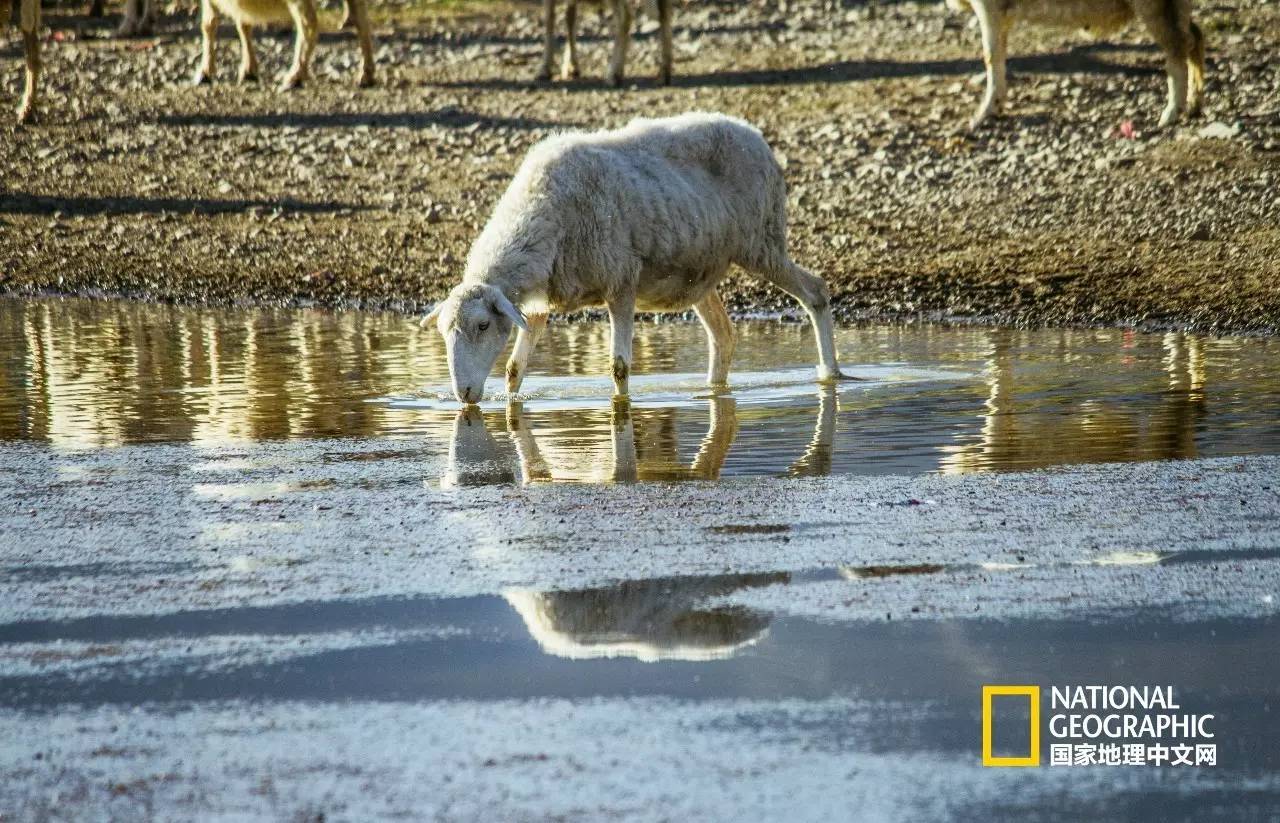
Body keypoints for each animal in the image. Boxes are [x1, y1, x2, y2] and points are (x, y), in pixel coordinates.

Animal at [192, 0, 373, 89]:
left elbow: (209, 23)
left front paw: (204, 73)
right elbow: (243, 23)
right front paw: (249, 70)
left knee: (308, 23)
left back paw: (294, 76)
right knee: (361, 18)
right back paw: (366, 74)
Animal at [419, 109, 849, 404]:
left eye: (482, 326)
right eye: (443, 332)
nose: (463, 394)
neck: (542, 210)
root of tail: (752, 131)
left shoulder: (621, 282)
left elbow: (619, 367)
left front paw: (620, 409)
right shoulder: (539, 305)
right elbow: (513, 369)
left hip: (762, 242)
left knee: (815, 292)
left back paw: (830, 373)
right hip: (702, 271)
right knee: (723, 335)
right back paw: (712, 390)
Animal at [952, 0, 1208, 128]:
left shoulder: (990, 8)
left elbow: (991, 55)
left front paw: (980, 117)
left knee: (1178, 49)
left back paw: (1170, 115)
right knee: (1194, 38)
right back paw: (1194, 106)